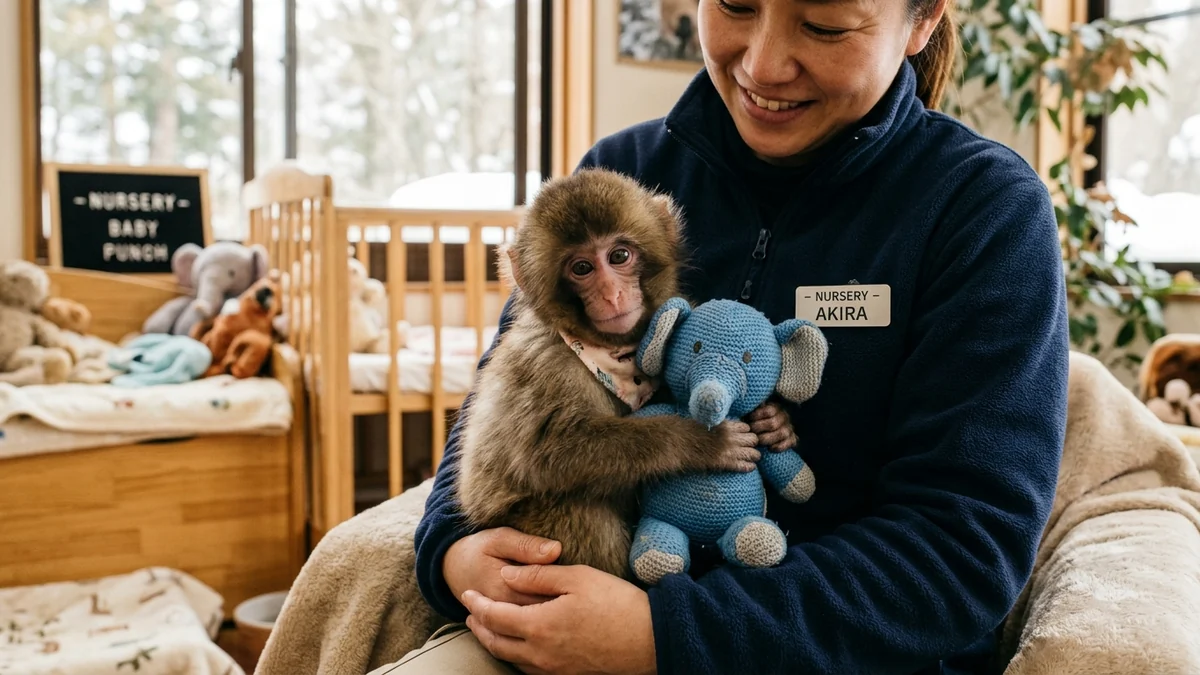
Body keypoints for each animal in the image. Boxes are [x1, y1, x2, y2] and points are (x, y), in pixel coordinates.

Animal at [454, 168, 763, 580]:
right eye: (582, 268)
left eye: (619, 256)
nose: (611, 293)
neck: (610, 349)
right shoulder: (546, 366)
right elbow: (548, 452)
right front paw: (701, 441)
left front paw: (775, 422)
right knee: (579, 510)